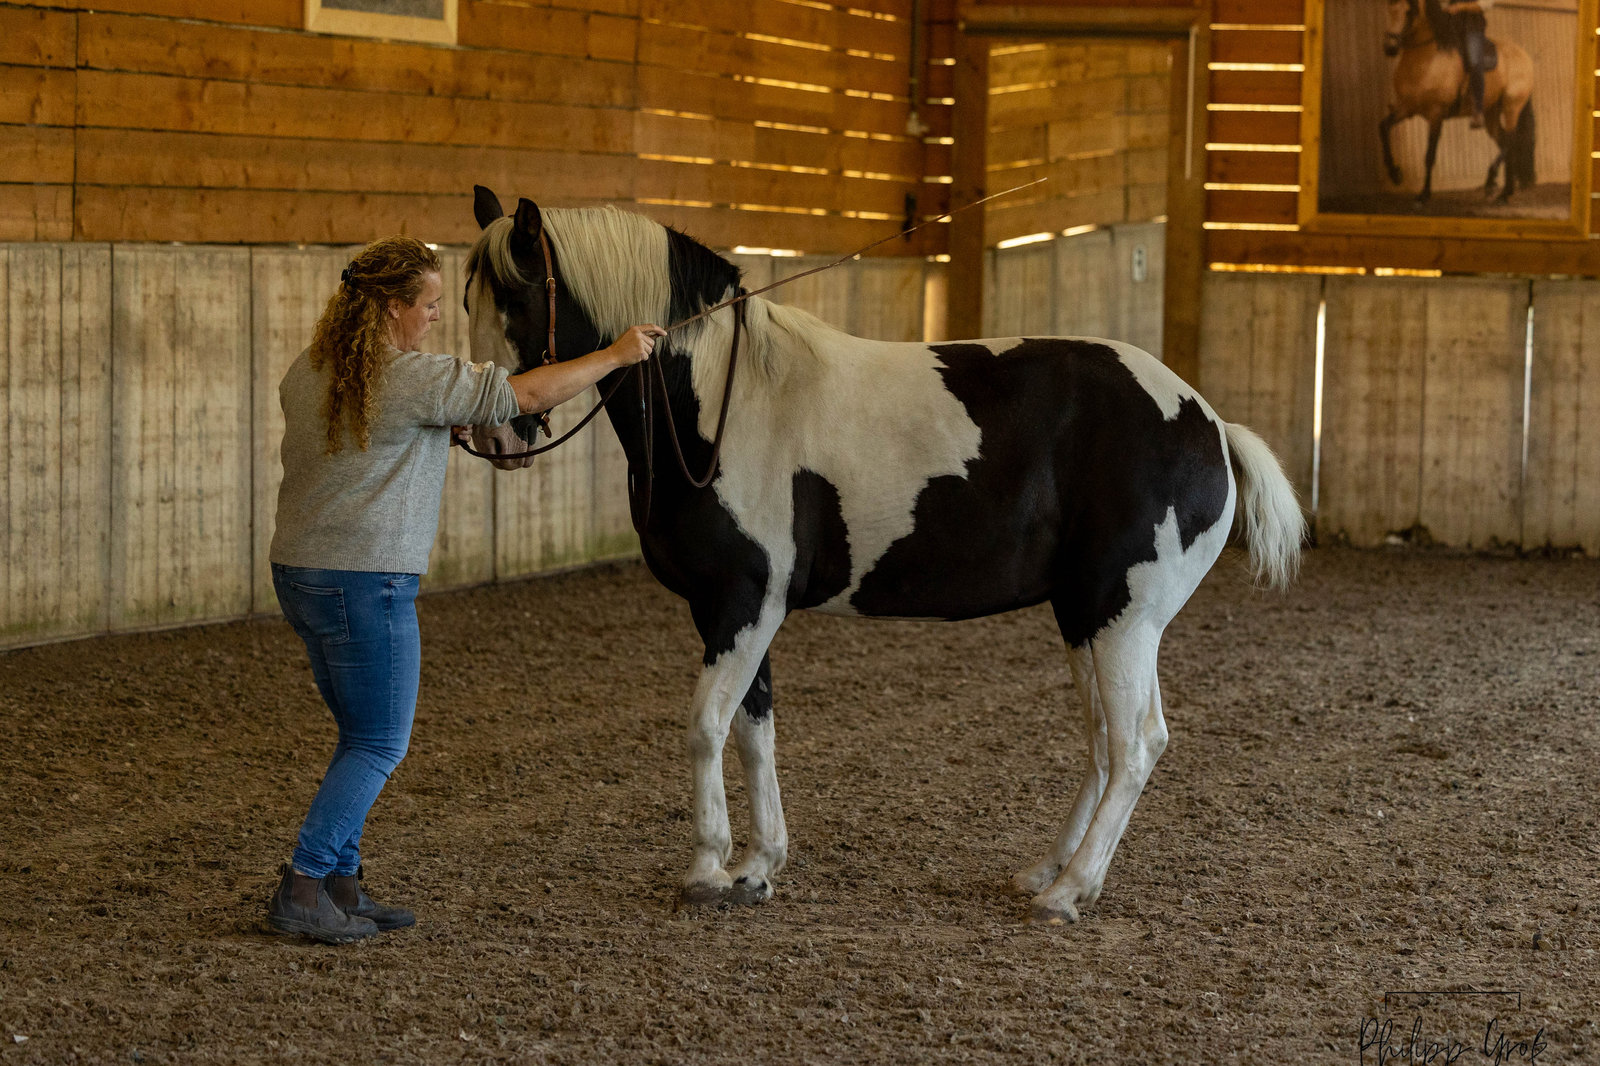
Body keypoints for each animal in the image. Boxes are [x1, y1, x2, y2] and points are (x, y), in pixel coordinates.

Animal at [463, 186, 1306, 924]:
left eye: (517, 297)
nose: (492, 433)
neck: (725, 402)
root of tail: (1208, 421)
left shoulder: (744, 602)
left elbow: (706, 726)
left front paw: (706, 870)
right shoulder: (730, 612)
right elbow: (753, 732)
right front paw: (757, 868)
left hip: (1122, 619)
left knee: (1135, 746)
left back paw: (1068, 893)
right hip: (1086, 618)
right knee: (1104, 743)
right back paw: (1050, 871)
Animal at [1379, 0, 1535, 204]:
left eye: (1408, 12)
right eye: (1388, 9)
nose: (1389, 47)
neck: (1426, 58)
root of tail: (1524, 56)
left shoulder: (1436, 113)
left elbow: (1430, 155)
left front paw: (1423, 195)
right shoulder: (1406, 108)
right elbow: (1383, 128)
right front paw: (1395, 174)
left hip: (1512, 107)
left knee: (1512, 141)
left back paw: (1491, 182)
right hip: (1491, 113)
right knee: (1505, 143)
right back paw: (1504, 192)